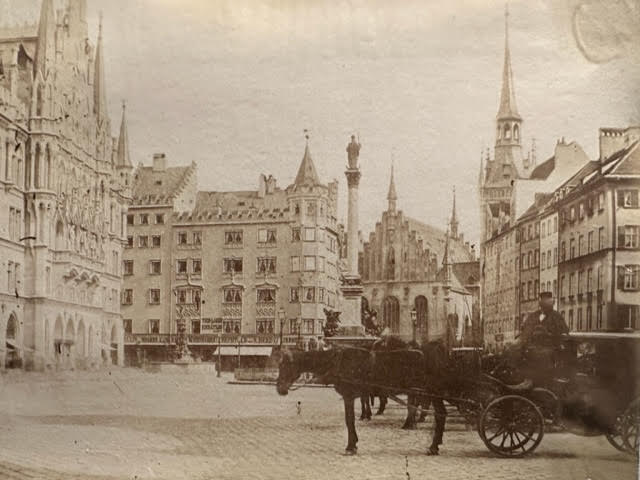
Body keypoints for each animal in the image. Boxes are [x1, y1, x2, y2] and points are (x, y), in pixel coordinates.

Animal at [276, 340, 450, 456]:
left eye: (285, 365)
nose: (279, 388)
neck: (337, 361)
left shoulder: (348, 396)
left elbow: (349, 420)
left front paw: (350, 447)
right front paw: (354, 443)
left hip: (432, 392)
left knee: (440, 413)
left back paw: (433, 446)